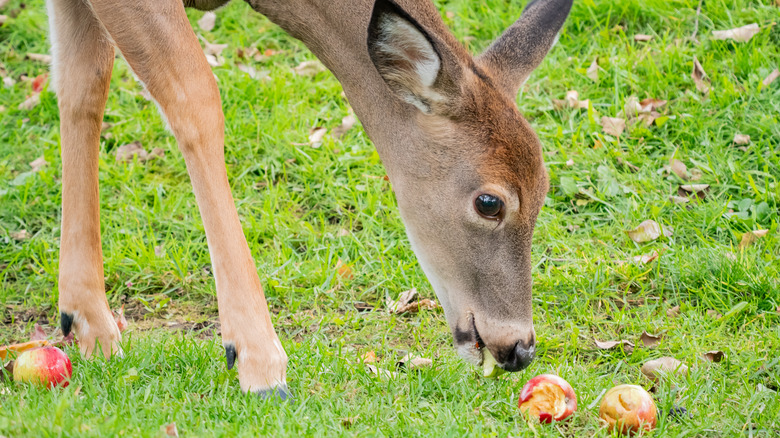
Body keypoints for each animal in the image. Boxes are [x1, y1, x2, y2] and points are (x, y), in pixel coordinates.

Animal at [48, 0, 572, 400]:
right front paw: (259, 363)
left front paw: (88, 324)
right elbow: (196, 99)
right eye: (489, 202)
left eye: (546, 187)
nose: (520, 348)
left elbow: (82, 83)